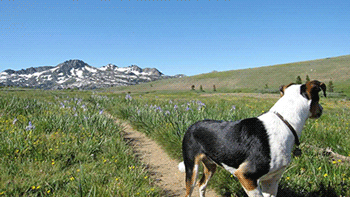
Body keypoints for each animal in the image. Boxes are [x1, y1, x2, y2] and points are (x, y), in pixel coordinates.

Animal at [179, 80, 326, 197]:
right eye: (318, 99)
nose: (322, 109)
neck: (285, 122)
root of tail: (192, 126)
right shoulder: (246, 176)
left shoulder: (271, 181)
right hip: (192, 168)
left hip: (210, 166)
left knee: (202, 184)